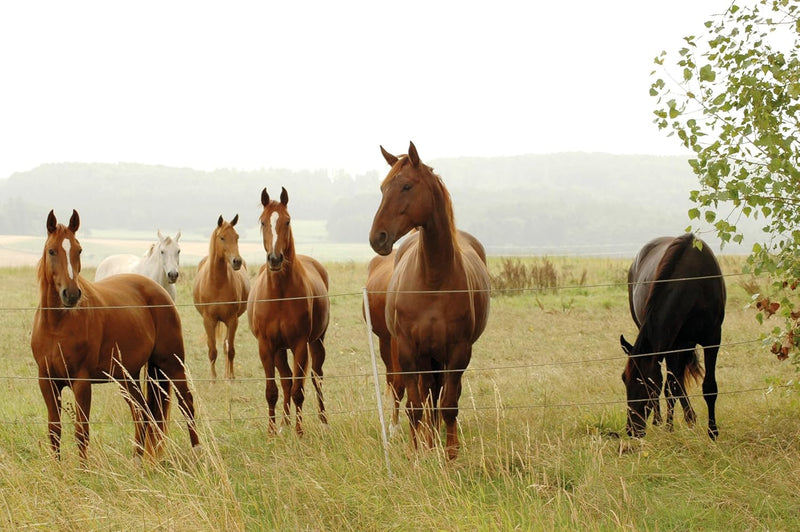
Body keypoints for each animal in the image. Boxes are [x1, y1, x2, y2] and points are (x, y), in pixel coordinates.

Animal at [31, 210, 200, 464]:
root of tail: (158, 290)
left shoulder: (82, 382)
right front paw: (57, 468)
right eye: (52, 250)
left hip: (172, 364)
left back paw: (199, 454)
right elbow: (54, 430)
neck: (57, 325)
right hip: (127, 376)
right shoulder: (47, 381)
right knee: (142, 411)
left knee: (186, 404)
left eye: (79, 250)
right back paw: (137, 460)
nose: (71, 294)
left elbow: (82, 431)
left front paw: (84, 470)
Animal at [191, 214, 248, 380]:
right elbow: (212, 351)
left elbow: (230, 350)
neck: (217, 283)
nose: (237, 261)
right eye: (222, 237)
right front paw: (213, 379)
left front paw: (231, 378)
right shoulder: (209, 320)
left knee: (226, 346)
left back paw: (227, 375)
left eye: (237, 237)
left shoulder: (232, 320)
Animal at [245, 189, 330, 434]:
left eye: (287, 221)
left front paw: (300, 432)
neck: (280, 294)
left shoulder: (300, 345)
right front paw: (273, 431)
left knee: (316, 377)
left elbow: (298, 390)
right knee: (285, 381)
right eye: (263, 221)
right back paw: (284, 423)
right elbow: (273, 390)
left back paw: (323, 421)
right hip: (279, 350)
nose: (275, 259)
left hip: (317, 342)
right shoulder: (266, 346)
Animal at [370, 142, 494, 462]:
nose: (378, 238)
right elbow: (416, 405)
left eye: (406, 186)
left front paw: (450, 454)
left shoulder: (458, 351)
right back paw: (427, 440)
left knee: (439, 396)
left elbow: (448, 405)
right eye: (383, 187)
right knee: (427, 396)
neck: (433, 280)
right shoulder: (408, 350)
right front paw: (416, 453)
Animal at [620, 235, 728, 438]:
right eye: (624, 379)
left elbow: (709, 387)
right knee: (674, 381)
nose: (632, 430)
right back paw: (662, 420)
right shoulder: (673, 343)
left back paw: (689, 418)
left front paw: (713, 431)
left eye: (646, 383)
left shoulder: (712, 339)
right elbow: (671, 387)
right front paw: (669, 428)